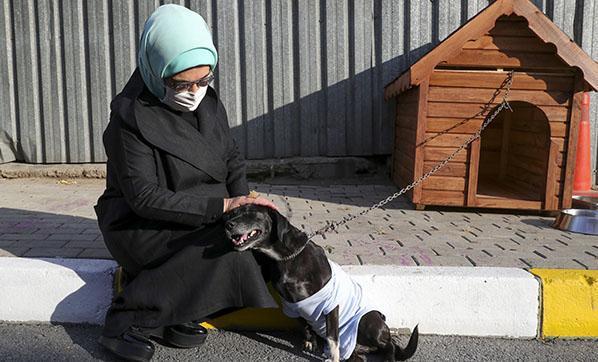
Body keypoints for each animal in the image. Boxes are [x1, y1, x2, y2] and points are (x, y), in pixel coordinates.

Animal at [223, 205, 420, 360]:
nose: (227, 225)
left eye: (251, 212)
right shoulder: (292, 306)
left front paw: (332, 357)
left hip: (369, 322)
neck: (288, 257)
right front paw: (311, 341)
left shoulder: (331, 304)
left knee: (390, 345)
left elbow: (333, 339)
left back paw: (389, 356)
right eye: (234, 213)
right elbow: (305, 326)